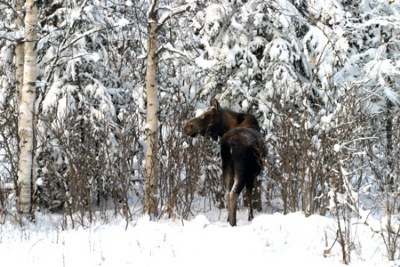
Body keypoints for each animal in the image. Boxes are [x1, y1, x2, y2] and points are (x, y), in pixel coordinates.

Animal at [184, 99, 266, 227]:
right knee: (233, 194)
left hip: (227, 167)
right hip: (241, 171)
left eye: (208, 115)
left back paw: (229, 221)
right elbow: (249, 196)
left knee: (227, 192)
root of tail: (229, 143)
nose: (187, 127)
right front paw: (250, 218)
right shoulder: (251, 175)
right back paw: (233, 223)